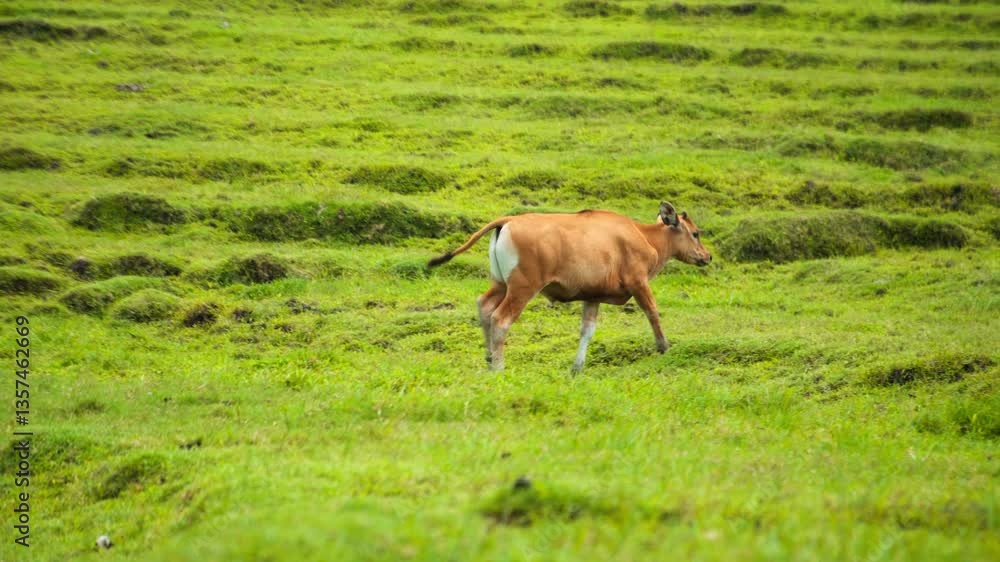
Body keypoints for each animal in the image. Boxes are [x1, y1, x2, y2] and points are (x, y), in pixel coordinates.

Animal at [428, 202, 711, 371]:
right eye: (695, 233)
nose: (707, 256)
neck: (642, 235)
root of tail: (508, 221)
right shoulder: (638, 282)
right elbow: (652, 312)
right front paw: (664, 347)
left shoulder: (593, 295)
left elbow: (587, 330)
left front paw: (577, 367)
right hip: (522, 288)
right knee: (500, 319)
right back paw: (498, 366)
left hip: (500, 283)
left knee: (484, 306)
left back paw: (488, 359)